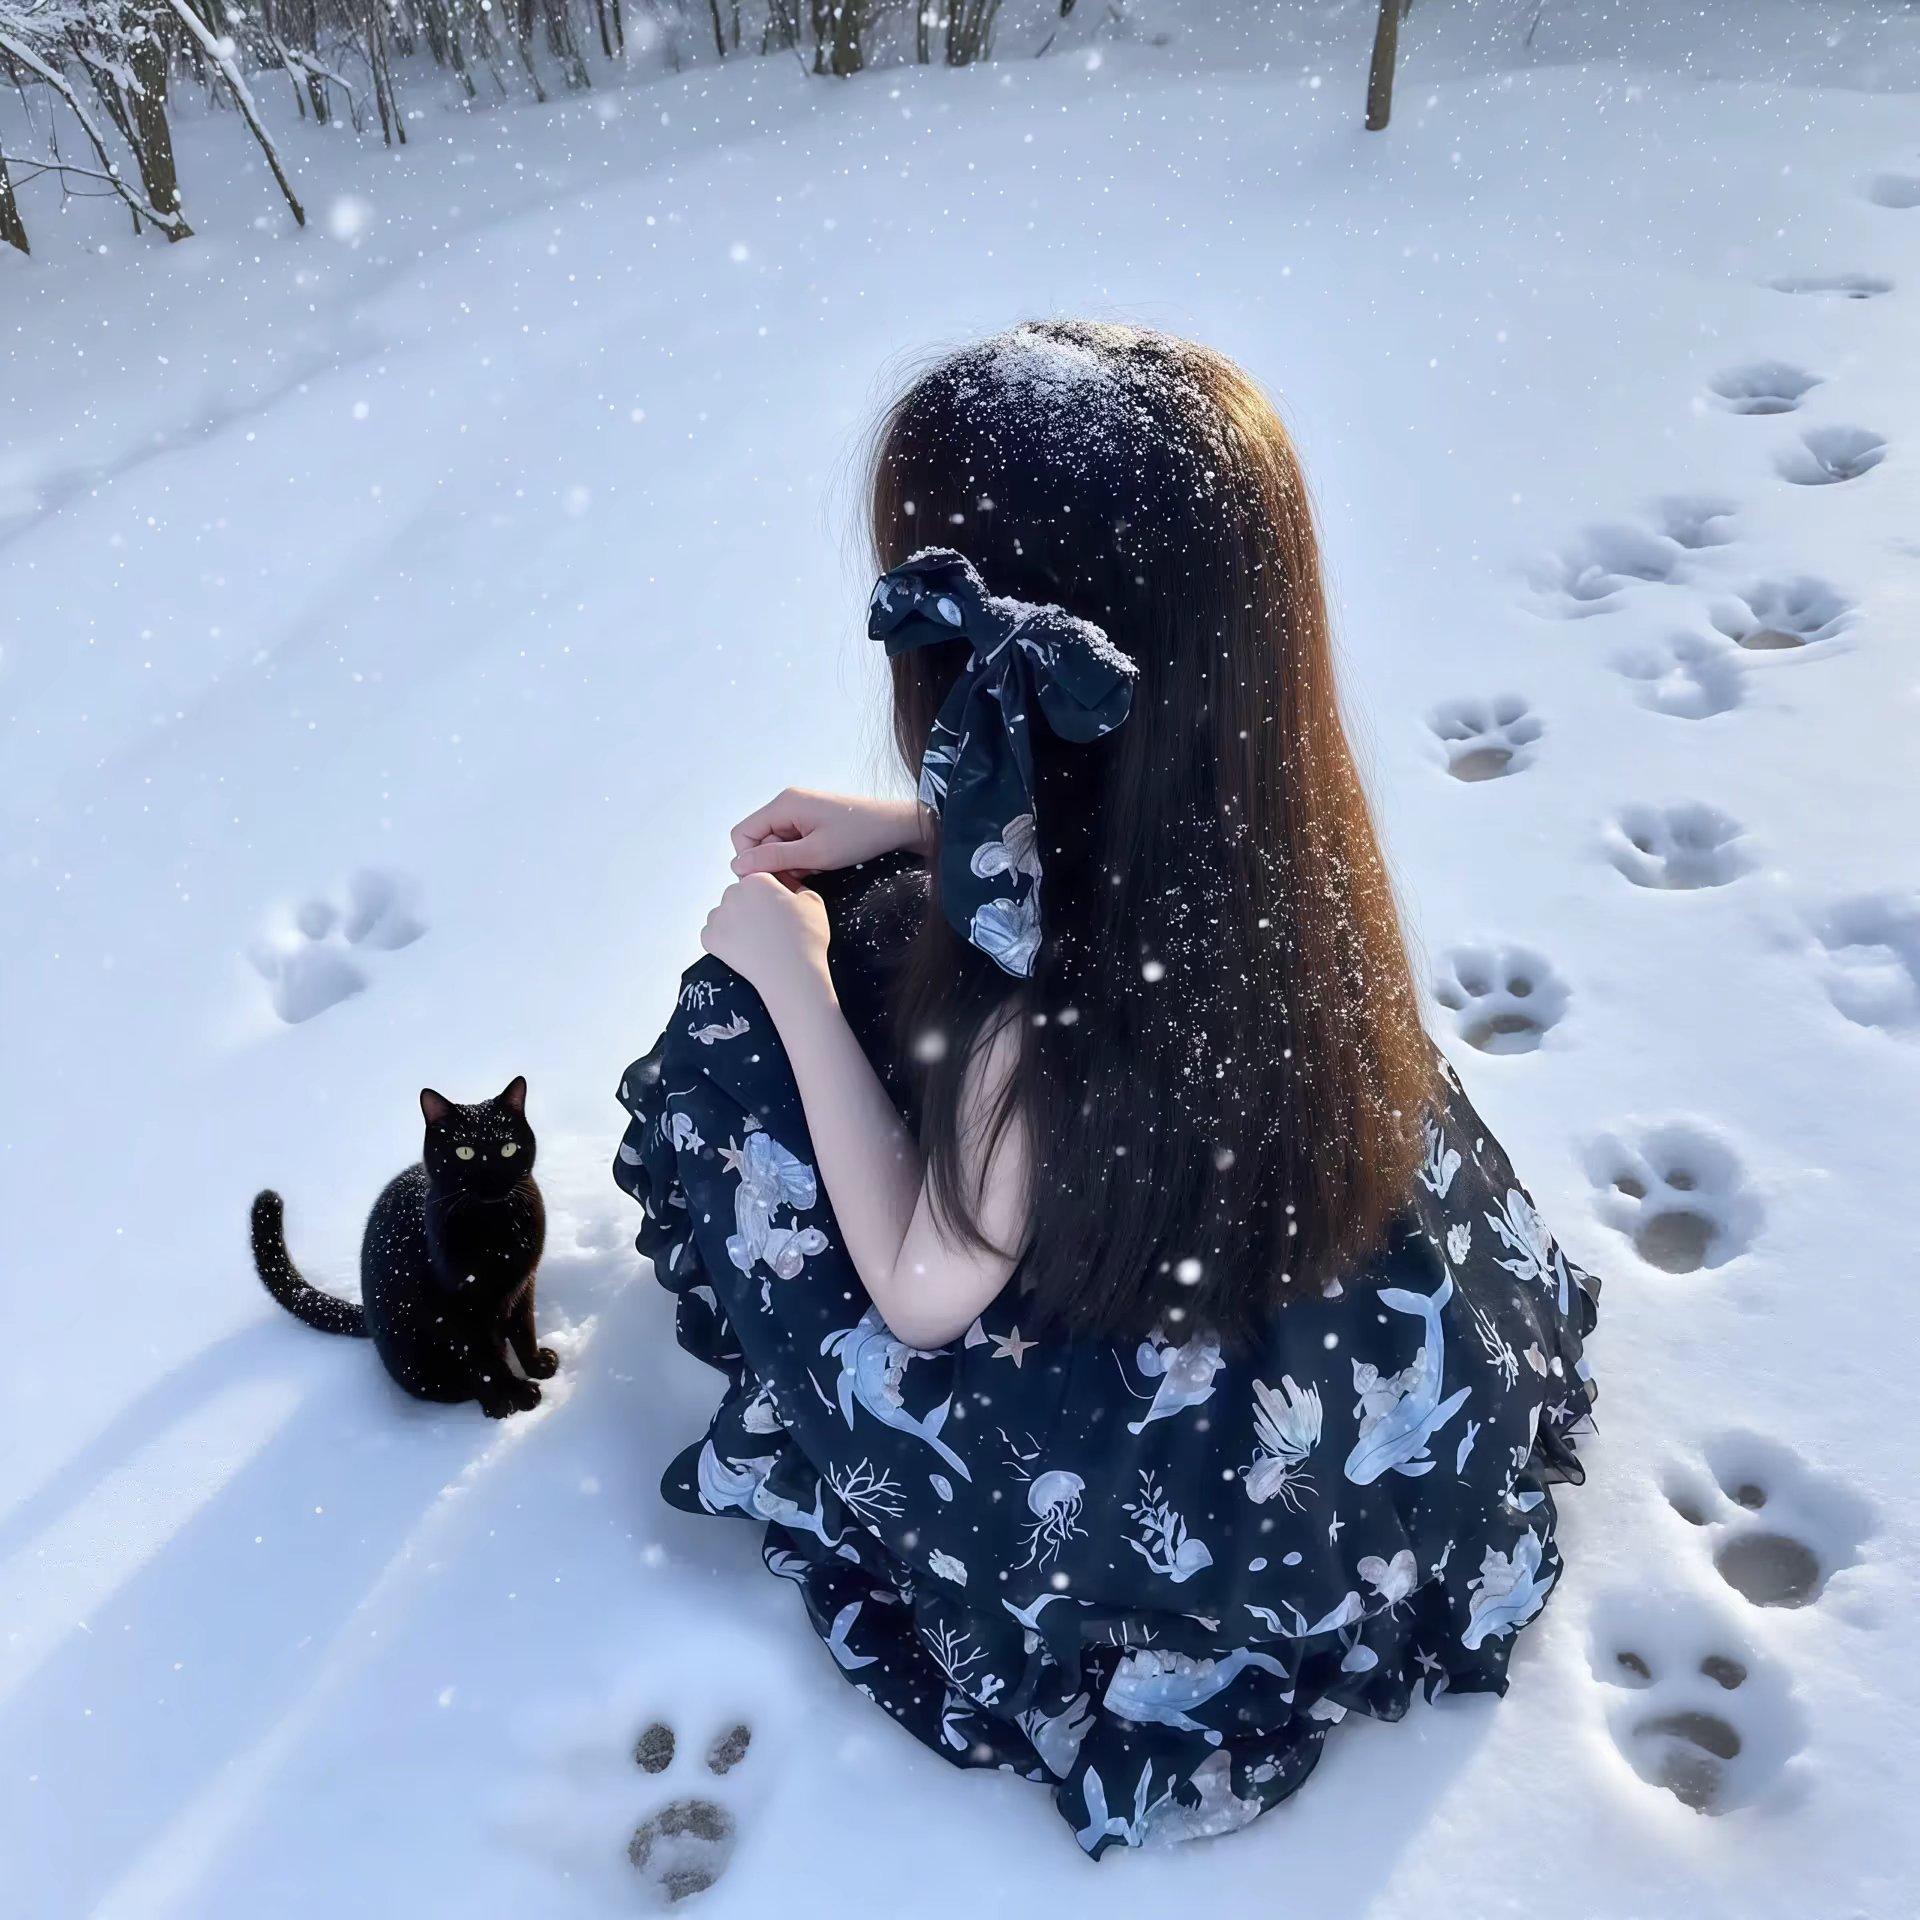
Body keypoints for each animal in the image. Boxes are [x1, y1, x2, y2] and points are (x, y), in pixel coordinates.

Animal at [250, 1077, 555, 1419]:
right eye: (464, 1151)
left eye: (507, 1148)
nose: (491, 1180)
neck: (494, 1231)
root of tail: (368, 1318)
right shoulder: (451, 1308)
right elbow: (483, 1360)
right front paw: (509, 1397)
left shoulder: (523, 1283)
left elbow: (524, 1328)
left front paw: (537, 1365)